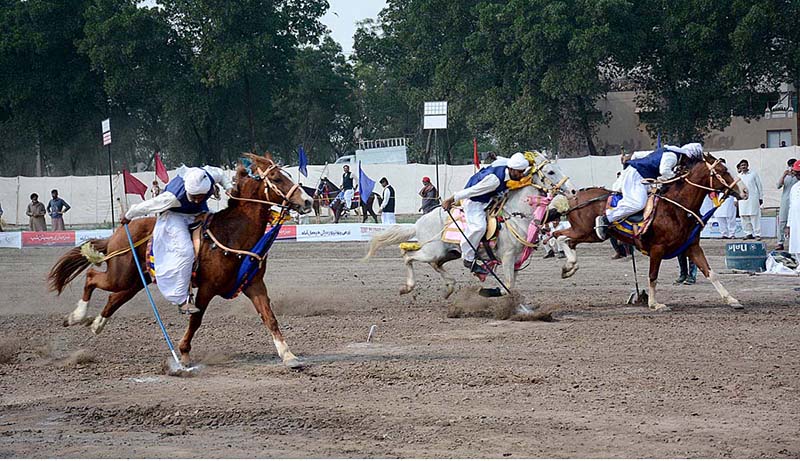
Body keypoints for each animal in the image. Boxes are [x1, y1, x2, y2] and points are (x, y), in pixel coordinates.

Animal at [48, 154, 314, 366]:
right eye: (277, 179)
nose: (308, 200)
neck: (233, 233)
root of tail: (118, 233)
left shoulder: (254, 284)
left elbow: (270, 317)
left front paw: (289, 355)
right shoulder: (207, 287)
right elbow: (196, 319)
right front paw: (183, 354)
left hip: (135, 281)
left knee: (114, 298)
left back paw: (96, 324)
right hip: (120, 274)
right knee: (92, 277)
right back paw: (77, 316)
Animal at [362, 153, 576, 298]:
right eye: (550, 171)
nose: (573, 190)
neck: (517, 216)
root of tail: (418, 223)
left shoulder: (516, 261)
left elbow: (510, 285)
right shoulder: (507, 257)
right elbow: (508, 285)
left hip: (448, 252)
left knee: (434, 264)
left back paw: (450, 286)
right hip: (432, 251)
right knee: (408, 256)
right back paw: (408, 287)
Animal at [552, 153, 748, 310]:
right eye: (723, 170)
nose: (745, 191)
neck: (676, 207)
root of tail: (573, 197)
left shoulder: (692, 246)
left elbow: (710, 273)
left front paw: (731, 299)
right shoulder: (657, 249)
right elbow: (653, 276)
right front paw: (654, 303)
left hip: (589, 234)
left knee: (565, 240)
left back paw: (569, 267)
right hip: (585, 231)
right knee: (559, 236)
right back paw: (569, 264)